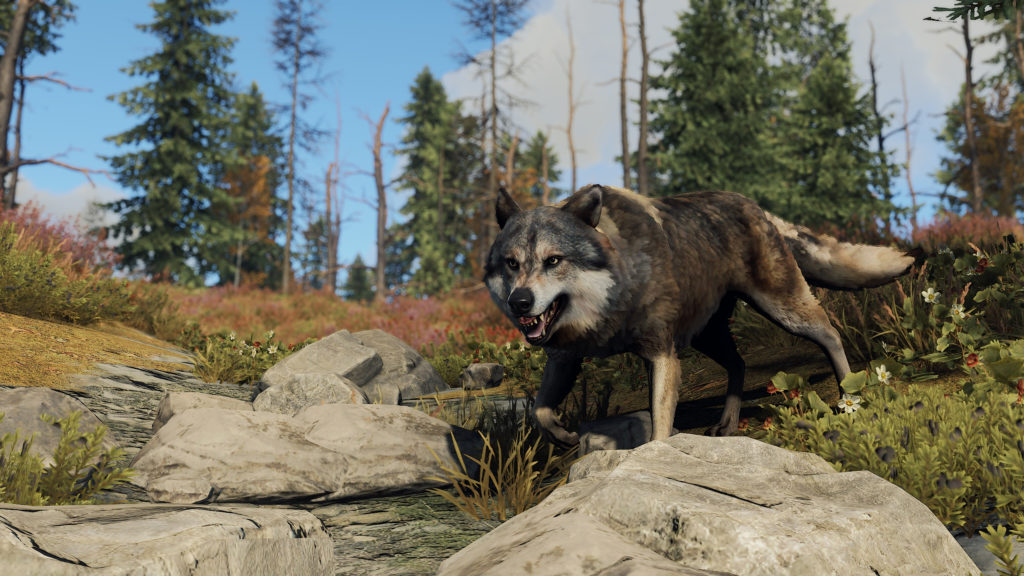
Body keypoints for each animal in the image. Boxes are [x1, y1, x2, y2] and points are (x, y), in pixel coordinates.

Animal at [484, 184, 916, 446]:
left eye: (553, 261)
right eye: (511, 264)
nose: (520, 303)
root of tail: (756, 206)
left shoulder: (662, 354)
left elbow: (660, 425)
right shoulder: (565, 356)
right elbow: (539, 410)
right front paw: (564, 437)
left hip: (783, 311)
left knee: (831, 334)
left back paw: (849, 393)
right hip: (707, 336)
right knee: (739, 364)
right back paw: (727, 424)